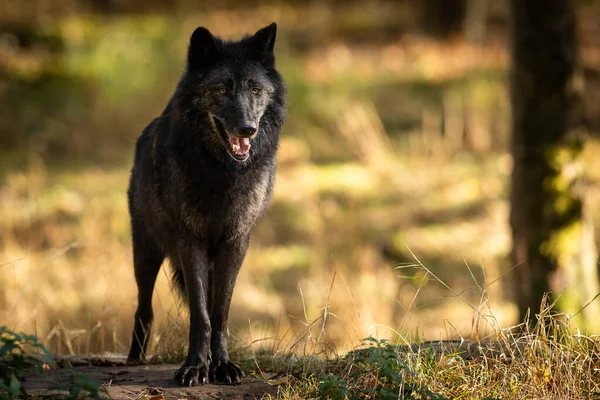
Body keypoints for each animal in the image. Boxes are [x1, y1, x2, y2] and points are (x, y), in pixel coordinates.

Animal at [125, 23, 288, 386]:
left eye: (255, 90)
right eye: (223, 89)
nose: (247, 128)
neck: (223, 173)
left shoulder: (235, 243)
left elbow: (219, 312)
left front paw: (221, 366)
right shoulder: (190, 241)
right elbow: (200, 314)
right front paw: (195, 367)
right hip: (145, 253)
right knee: (144, 309)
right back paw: (133, 359)